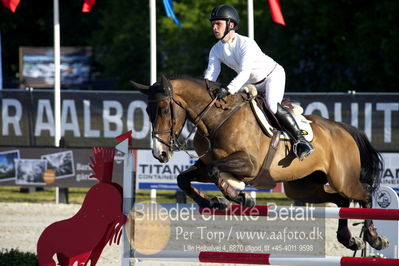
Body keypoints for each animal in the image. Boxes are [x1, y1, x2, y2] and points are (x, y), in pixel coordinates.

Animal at [133, 75, 390, 251]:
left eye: (164, 110)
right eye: (146, 110)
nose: (160, 154)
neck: (217, 118)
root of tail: (342, 129)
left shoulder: (249, 165)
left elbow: (215, 171)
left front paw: (240, 197)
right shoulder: (208, 164)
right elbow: (183, 178)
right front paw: (214, 202)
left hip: (344, 179)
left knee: (364, 195)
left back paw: (374, 238)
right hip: (304, 187)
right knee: (341, 201)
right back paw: (349, 239)